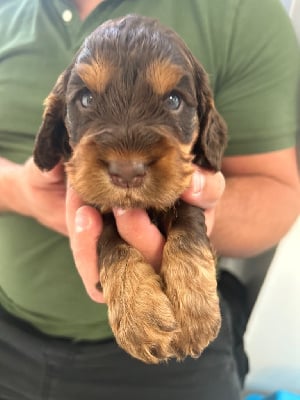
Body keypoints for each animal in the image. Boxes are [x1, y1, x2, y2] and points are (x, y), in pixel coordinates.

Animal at [34, 14, 226, 364]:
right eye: (86, 99)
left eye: (174, 100)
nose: (126, 172)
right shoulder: (96, 206)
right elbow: (112, 241)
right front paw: (138, 315)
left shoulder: (186, 188)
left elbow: (188, 224)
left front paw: (194, 313)